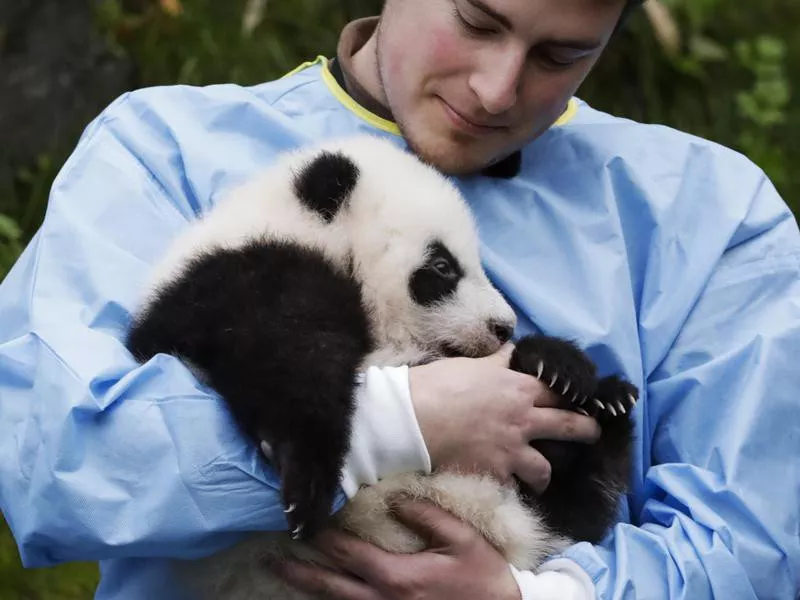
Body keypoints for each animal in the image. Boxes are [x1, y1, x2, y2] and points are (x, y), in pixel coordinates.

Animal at [125, 134, 636, 596]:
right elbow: (285, 357)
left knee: (576, 501)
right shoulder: (237, 278)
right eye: (443, 267)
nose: (503, 327)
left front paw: (560, 365)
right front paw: (307, 479)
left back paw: (603, 399)